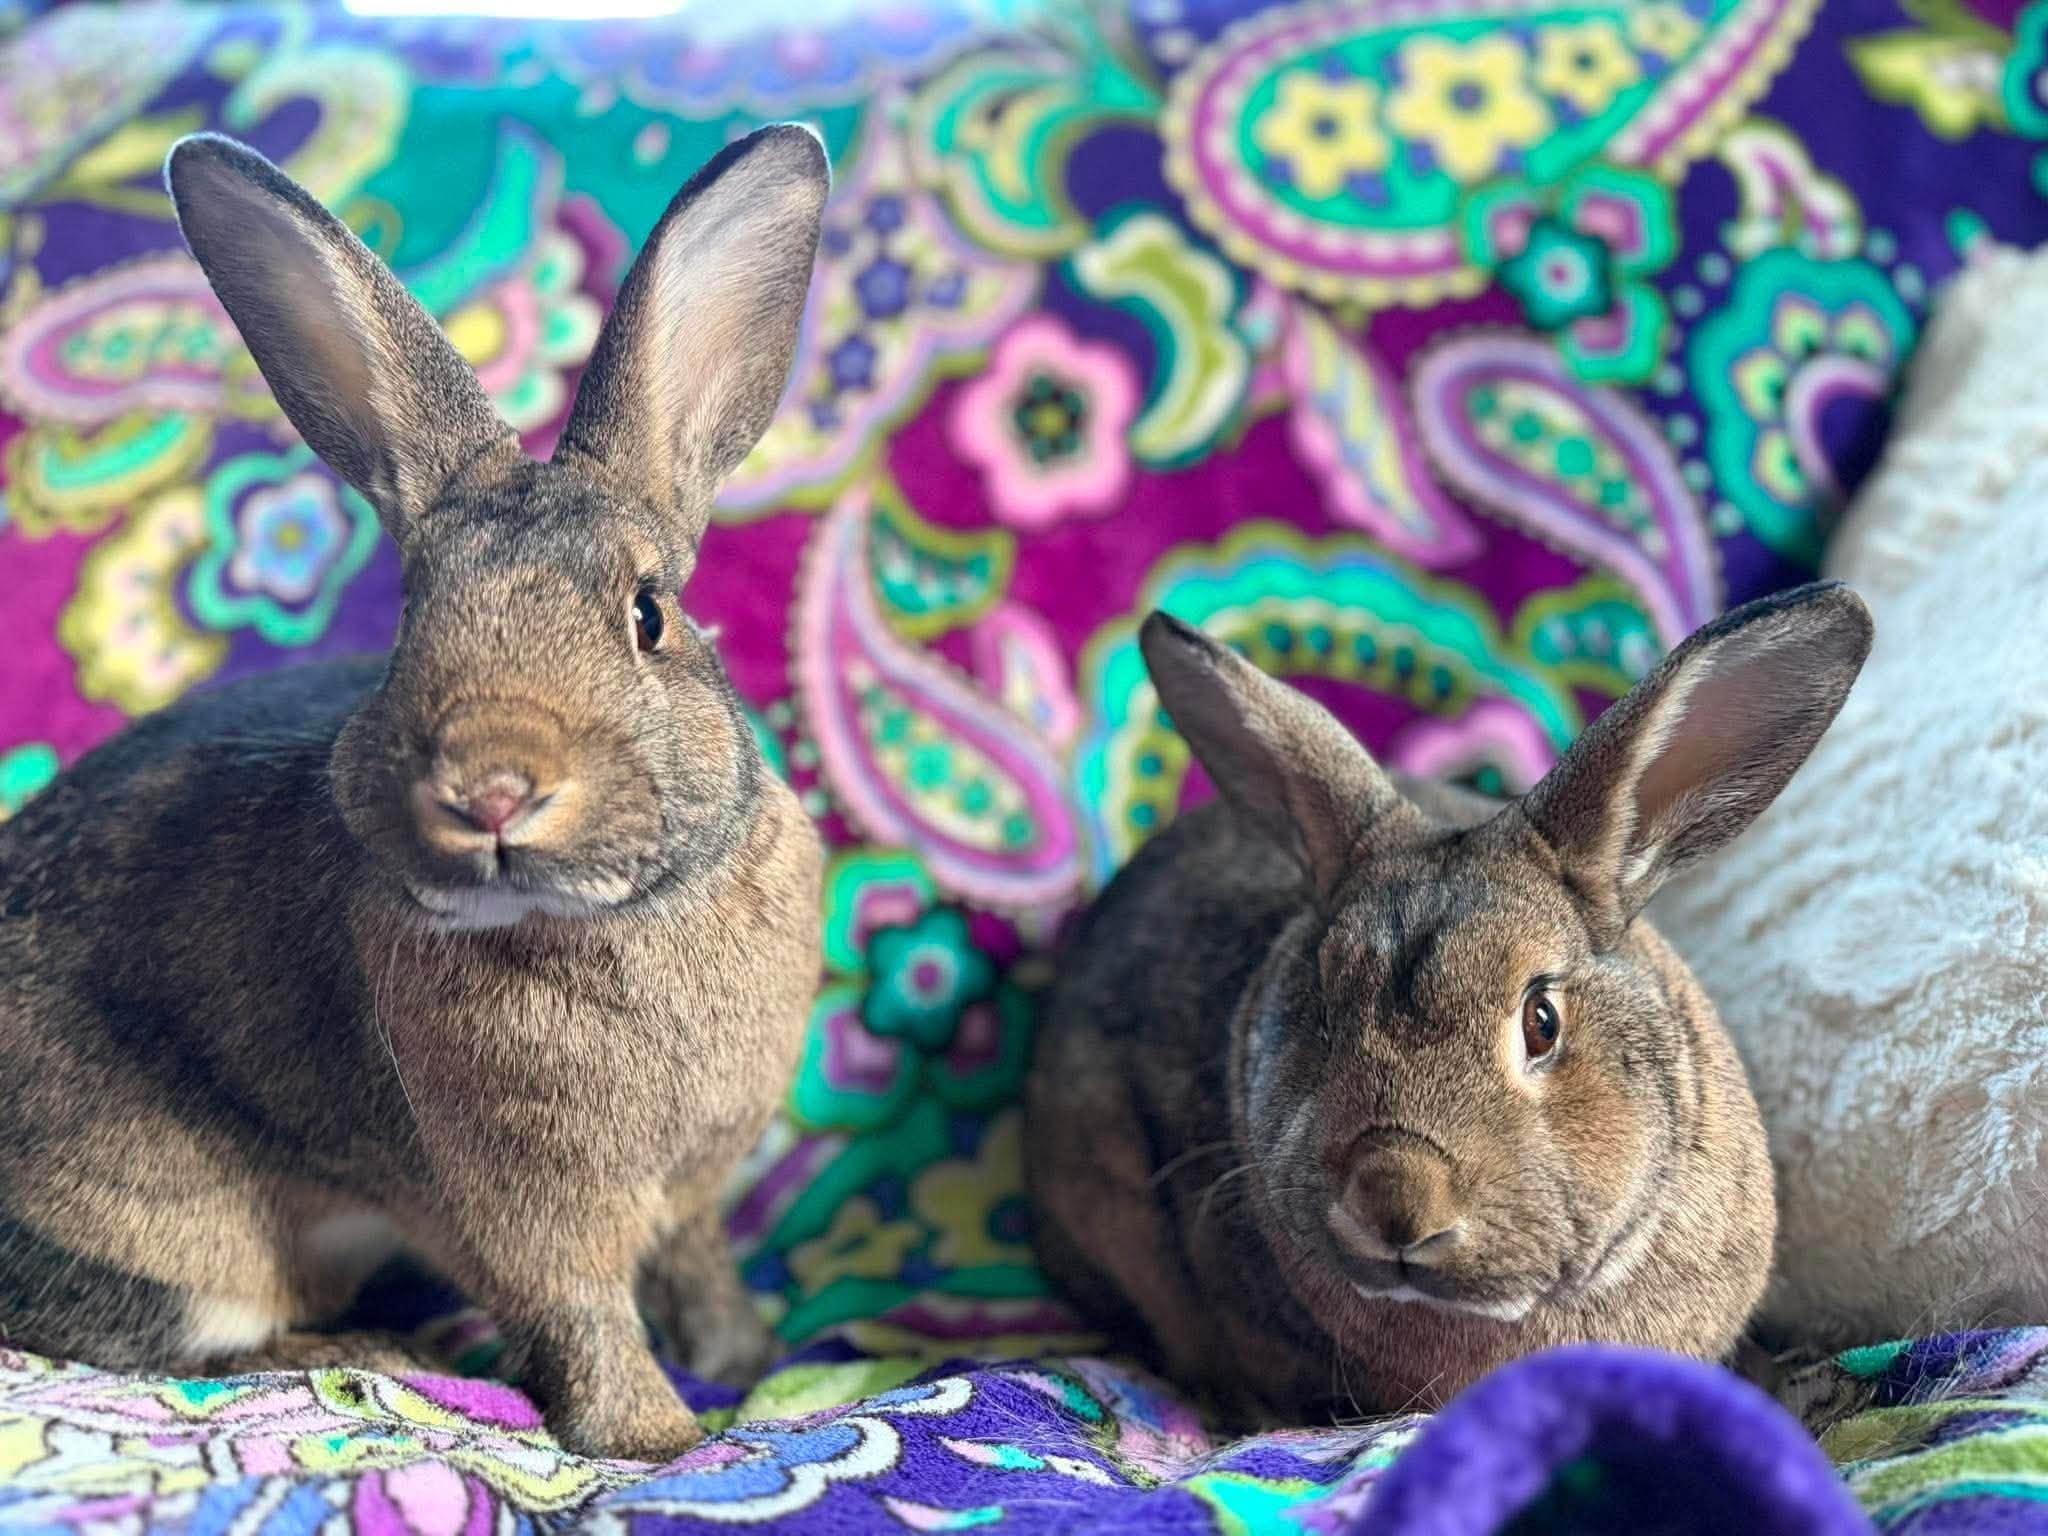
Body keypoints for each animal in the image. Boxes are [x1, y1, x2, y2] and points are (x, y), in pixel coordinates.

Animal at [0, 125, 829, 1462]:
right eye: (410, 622)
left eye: (647, 613)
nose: (492, 789)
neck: (611, 916)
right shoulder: (524, 1205)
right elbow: (583, 1314)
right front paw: (658, 1439)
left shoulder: (695, 1184)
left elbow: (697, 1265)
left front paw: (744, 1364)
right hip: (181, 1231)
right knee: (164, 1338)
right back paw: (377, 1353)